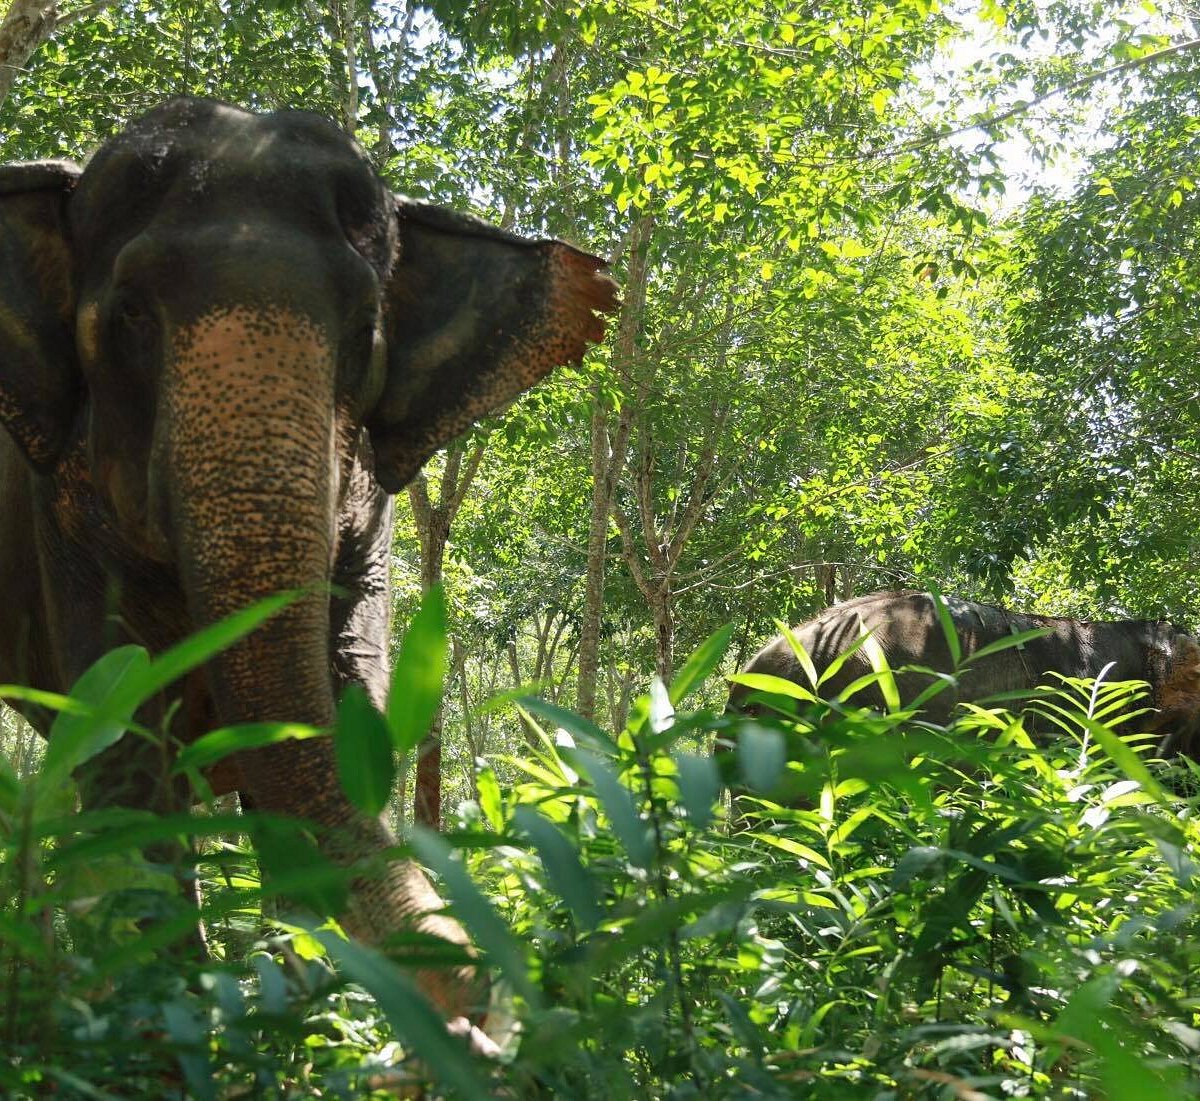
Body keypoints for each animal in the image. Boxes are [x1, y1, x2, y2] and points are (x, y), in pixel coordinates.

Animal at [0, 98, 619, 1031]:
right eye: (131, 316)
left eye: (364, 331)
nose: (489, 1002)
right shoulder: (58, 514)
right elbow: (124, 727)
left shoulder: (371, 516)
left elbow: (349, 693)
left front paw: (305, 1001)